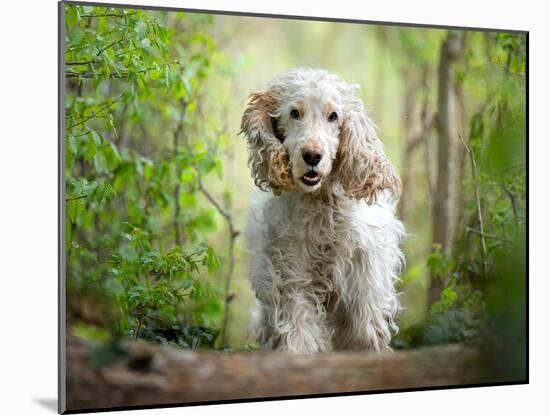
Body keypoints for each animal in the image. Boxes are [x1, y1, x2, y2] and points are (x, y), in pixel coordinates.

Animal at [242, 68, 406, 354]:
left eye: (333, 116)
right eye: (294, 113)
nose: (312, 156)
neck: (321, 204)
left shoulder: (362, 285)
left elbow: (364, 335)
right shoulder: (292, 279)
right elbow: (299, 334)